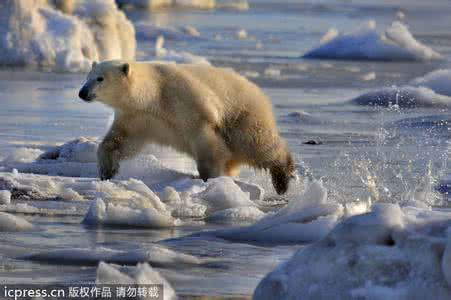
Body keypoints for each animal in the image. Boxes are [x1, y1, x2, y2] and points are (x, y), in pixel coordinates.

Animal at [79, 60, 294, 195]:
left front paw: (211, 178)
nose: (82, 92)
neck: (153, 96)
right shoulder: (138, 117)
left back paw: (282, 179)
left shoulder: (186, 100)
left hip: (244, 115)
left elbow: (208, 144)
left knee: (256, 144)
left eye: (100, 78)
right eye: (88, 76)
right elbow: (120, 141)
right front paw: (107, 171)